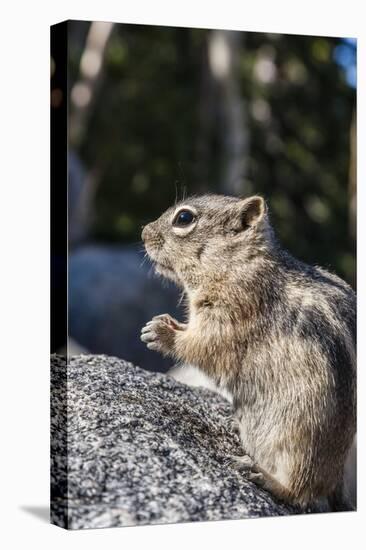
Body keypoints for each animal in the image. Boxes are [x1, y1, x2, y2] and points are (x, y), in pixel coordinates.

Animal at [139, 196, 354, 512]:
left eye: (184, 218)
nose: (143, 232)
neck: (240, 264)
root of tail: (338, 476)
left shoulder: (233, 313)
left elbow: (203, 346)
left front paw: (160, 333)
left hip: (301, 440)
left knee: (302, 490)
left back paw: (264, 476)